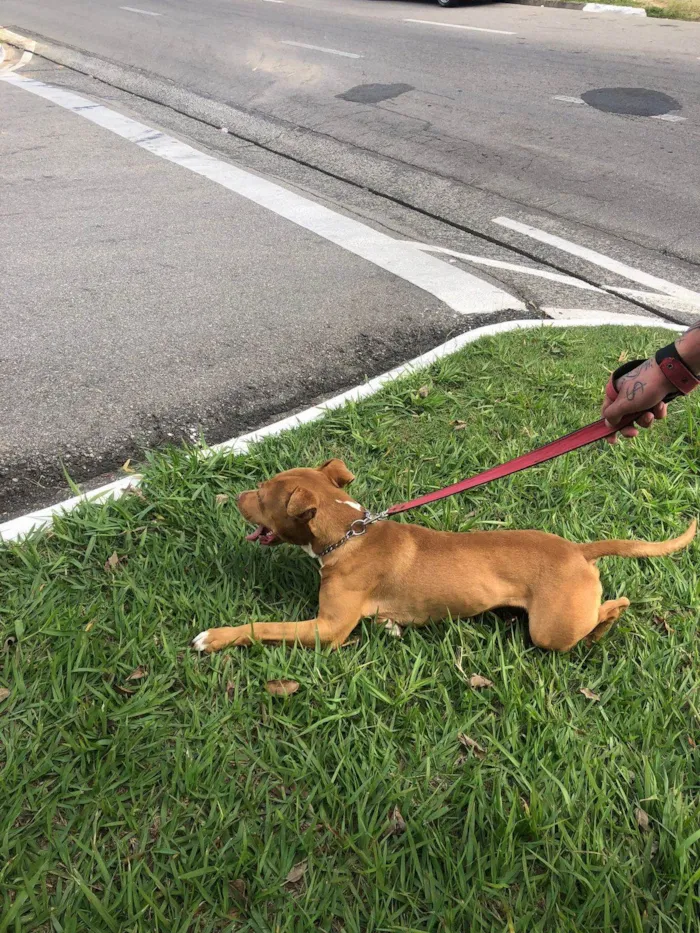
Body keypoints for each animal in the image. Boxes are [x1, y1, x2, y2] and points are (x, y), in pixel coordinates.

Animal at [190, 460, 696, 652]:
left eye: (261, 496)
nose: (235, 497)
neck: (349, 533)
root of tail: (577, 549)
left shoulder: (327, 629)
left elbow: (262, 626)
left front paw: (214, 637)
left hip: (552, 629)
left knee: (608, 610)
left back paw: (610, 620)